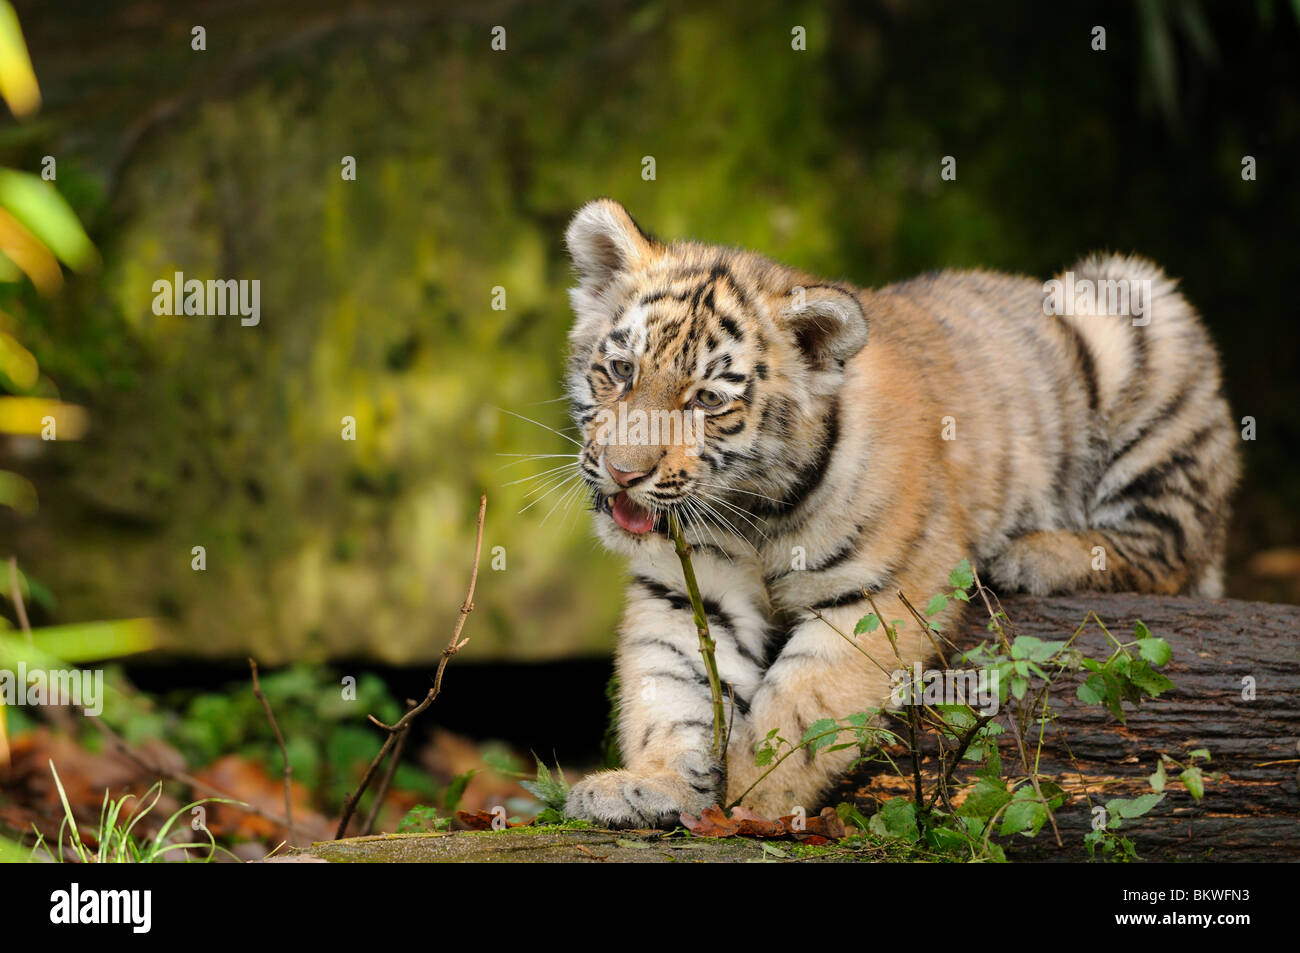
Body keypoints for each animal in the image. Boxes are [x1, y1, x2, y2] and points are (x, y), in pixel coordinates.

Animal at [558, 197, 1239, 826]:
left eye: (705, 401)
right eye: (621, 370)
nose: (623, 472)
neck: (751, 511)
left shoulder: (881, 593)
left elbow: (801, 713)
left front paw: (751, 804)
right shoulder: (685, 593)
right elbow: (669, 692)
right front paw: (651, 785)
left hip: (1140, 323)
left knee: (1173, 554)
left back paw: (1035, 556)